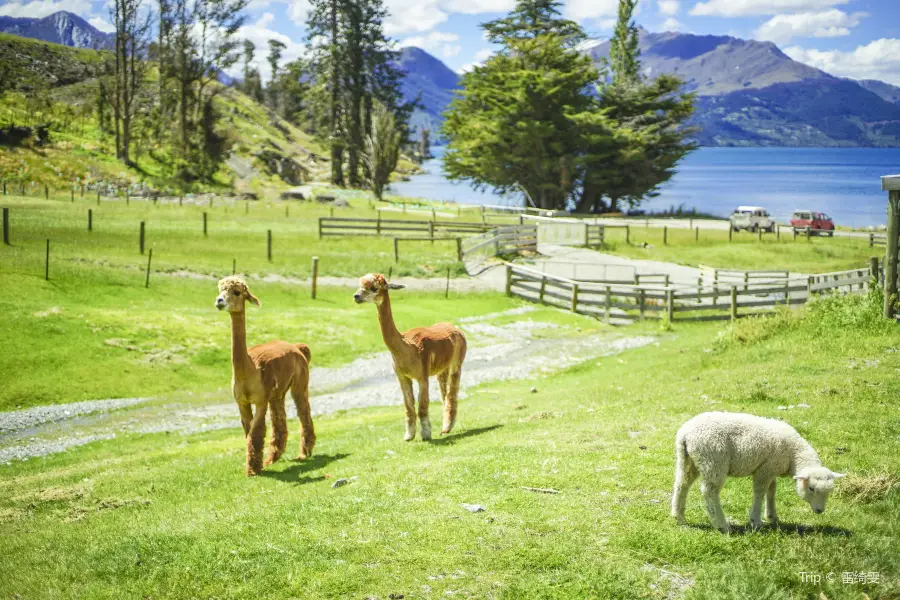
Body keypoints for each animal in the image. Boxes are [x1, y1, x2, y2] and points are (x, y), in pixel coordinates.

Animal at [668, 410, 844, 532]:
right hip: (714, 461)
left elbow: (772, 491)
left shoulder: (771, 469)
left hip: (689, 461)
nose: (820, 511)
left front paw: (772, 516)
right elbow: (760, 492)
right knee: (710, 492)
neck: (793, 454)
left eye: (829, 491)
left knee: (681, 484)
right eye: (811, 488)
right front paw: (756, 521)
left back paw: (678, 516)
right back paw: (722, 525)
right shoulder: (765, 469)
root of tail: (685, 434)